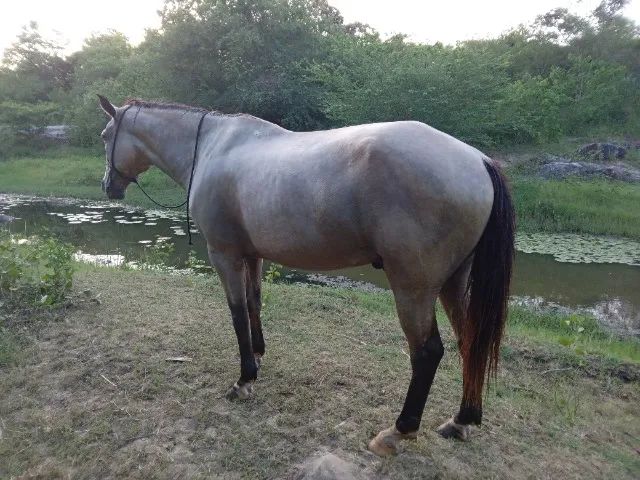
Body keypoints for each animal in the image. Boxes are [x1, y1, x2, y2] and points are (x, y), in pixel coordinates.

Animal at [97, 95, 515, 456]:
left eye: (104, 136)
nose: (108, 186)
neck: (213, 148)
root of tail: (478, 161)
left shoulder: (225, 255)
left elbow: (236, 312)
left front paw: (243, 380)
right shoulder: (252, 255)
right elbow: (254, 302)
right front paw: (258, 356)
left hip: (414, 288)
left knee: (427, 353)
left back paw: (398, 431)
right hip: (454, 283)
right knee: (469, 341)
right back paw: (462, 421)